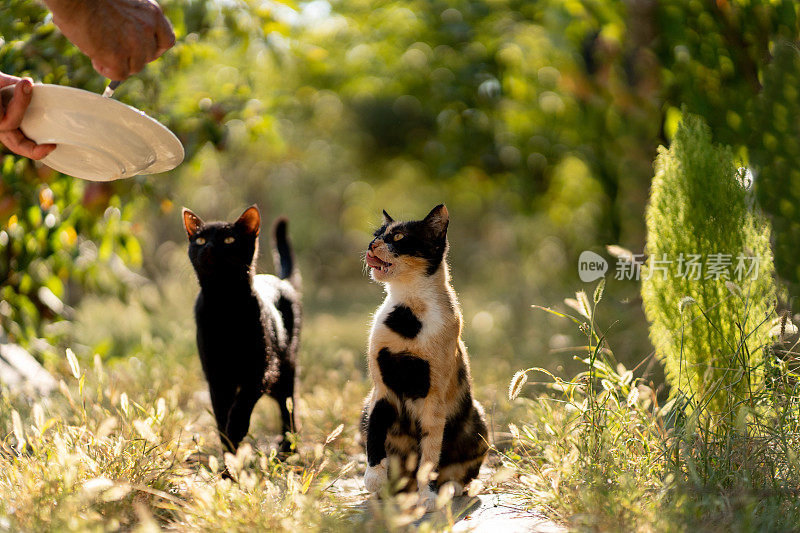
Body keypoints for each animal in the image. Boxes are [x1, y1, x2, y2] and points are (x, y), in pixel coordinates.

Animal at [183, 206, 302, 456]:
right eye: (200, 240)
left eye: (229, 240)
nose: (209, 247)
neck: (225, 305)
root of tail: (281, 281)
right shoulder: (216, 377)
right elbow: (221, 415)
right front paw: (229, 458)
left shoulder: (261, 368)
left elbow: (243, 402)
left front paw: (237, 428)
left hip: (285, 367)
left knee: (288, 404)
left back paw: (288, 447)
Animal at [360, 203, 488, 508]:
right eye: (377, 234)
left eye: (398, 238)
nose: (372, 244)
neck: (409, 311)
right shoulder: (381, 390)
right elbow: (375, 434)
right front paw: (373, 478)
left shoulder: (433, 400)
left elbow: (430, 454)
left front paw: (427, 496)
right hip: (364, 409)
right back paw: (390, 491)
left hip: (478, 418)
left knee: (460, 472)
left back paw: (448, 489)